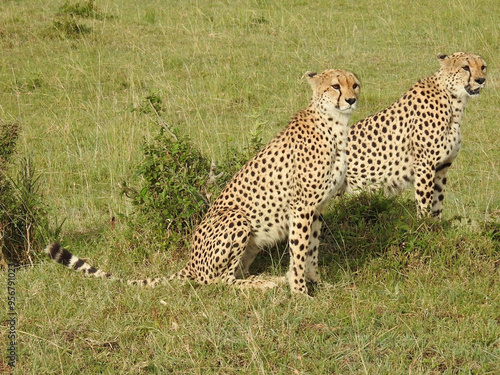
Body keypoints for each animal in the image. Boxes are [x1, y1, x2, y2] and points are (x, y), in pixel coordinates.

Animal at [46, 69, 360, 296]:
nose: (351, 100)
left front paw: (317, 283)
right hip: (236, 219)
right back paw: (266, 283)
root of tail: (190, 261)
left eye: (355, 85)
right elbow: (299, 252)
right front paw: (300, 293)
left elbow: (311, 251)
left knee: (233, 273)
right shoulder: (302, 207)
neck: (334, 124)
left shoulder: (316, 208)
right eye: (335, 86)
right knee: (216, 280)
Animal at [342, 51, 486, 219]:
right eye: (465, 67)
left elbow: (437, 203)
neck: (453, 102)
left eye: (483, 67)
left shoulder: (442, 167)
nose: (481, 80)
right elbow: (424, 203)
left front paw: (435, 224)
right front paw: (424, 224)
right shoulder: (425, 164)